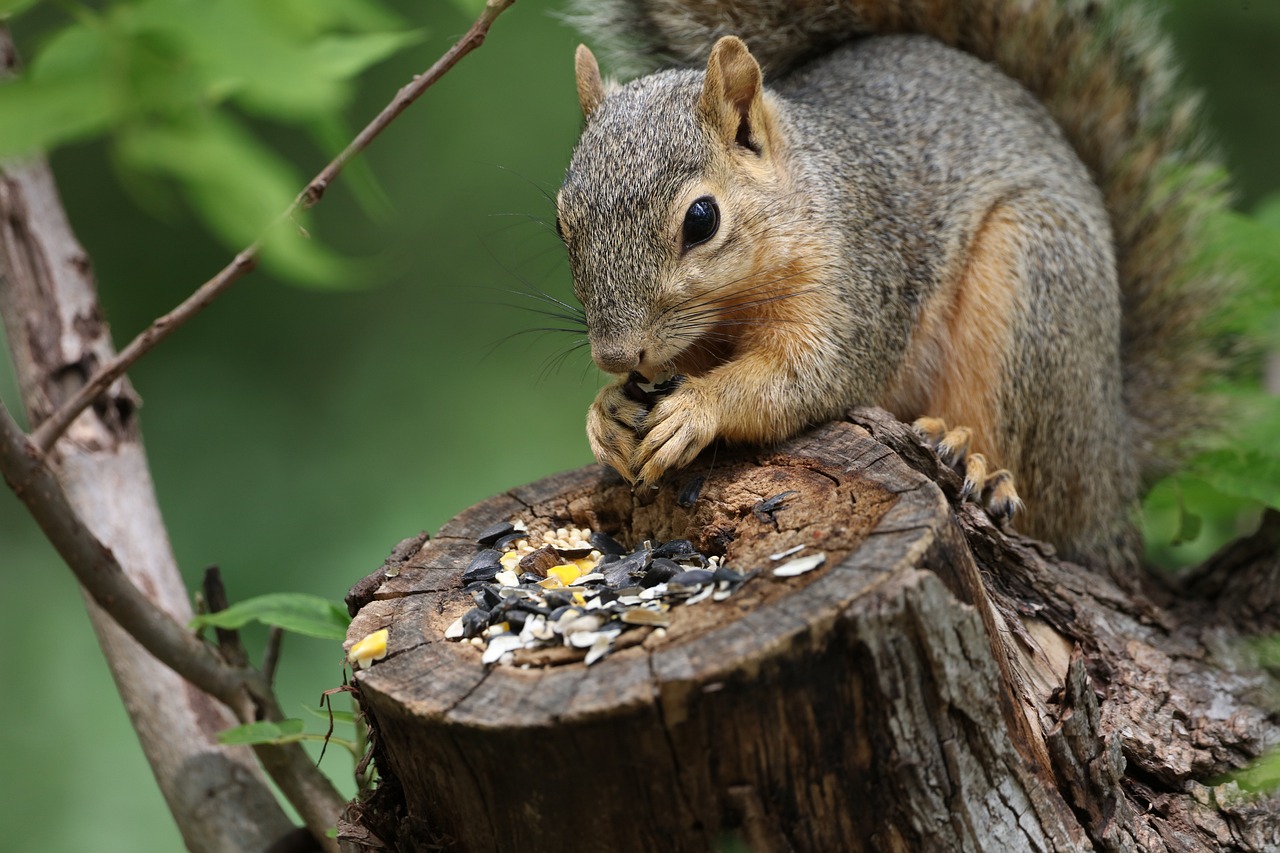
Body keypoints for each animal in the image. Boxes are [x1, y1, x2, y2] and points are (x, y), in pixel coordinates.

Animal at [552, 3, 1228, 571]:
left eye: (702, 219)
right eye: (563, 222)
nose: (615, 354)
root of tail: (1115, 461)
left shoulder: (859, 284)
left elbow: (804, 378)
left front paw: (696, 409)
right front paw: (606, 413)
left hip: (1036, 287)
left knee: (1046, 494)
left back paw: (977, 463)